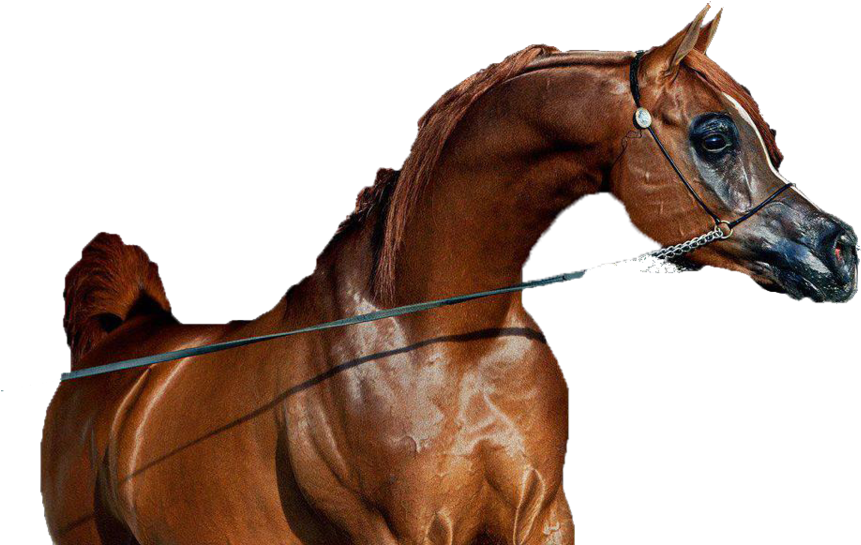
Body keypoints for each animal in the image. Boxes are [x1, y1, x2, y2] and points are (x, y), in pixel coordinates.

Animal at [42, 5, 858, 545]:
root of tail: (113, 348)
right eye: (714, 136)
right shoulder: (404, 533)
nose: (840, 250)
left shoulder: (542, 518)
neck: (442, 339)